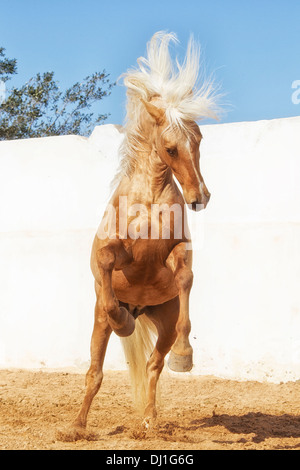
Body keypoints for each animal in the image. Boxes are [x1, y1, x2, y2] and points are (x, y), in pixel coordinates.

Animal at [59, 31, 218, 438]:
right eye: (171, 148)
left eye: (199, 140)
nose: (200, 197)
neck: (148, 203)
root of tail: (142, 308)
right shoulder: (116, 256)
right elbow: (103, 263)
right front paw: (122, 320)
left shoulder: (176, 251)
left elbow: (186, 276)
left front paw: (185, 356)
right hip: (98, 326)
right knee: (94, 373)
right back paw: (76, 427)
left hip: (163, 323)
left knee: (153, 365)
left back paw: (149, 420)